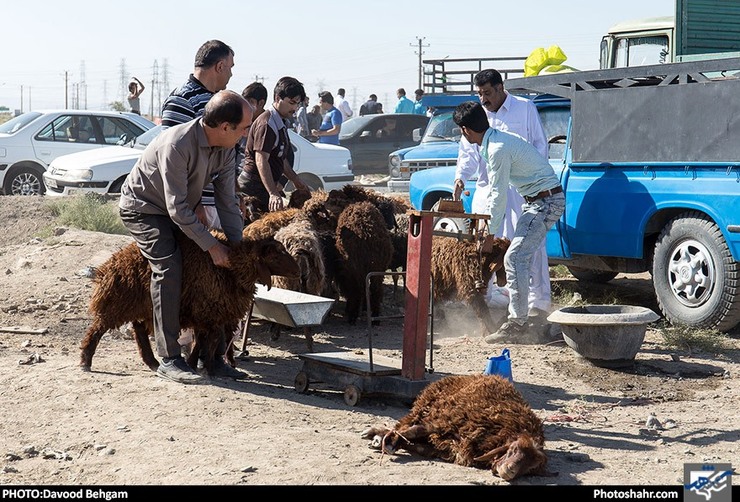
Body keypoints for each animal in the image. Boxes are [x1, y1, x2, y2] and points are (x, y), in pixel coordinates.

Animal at [79, 231, 300, 376]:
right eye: (276, 255)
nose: (297, 269)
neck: (232, 269)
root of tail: (109, 266)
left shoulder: (209, 313)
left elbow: (203, 340)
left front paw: (195, 364)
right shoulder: (207, 310)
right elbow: (208, 340)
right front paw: (207, 368)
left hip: (142, 305)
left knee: (139, 330)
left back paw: (152, 362)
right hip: (118, 303)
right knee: (97, 329)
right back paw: (85, 361)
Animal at [362, 374, 552, 480]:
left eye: (531, 468)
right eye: (513, 449)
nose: (510, 471)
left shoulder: (446, 448)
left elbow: (417, 445)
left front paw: (391, 443)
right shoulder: (444, 422)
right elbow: (412, 431)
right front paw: (389, 443)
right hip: (423, 408)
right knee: (402, 424)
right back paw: (377, 435)